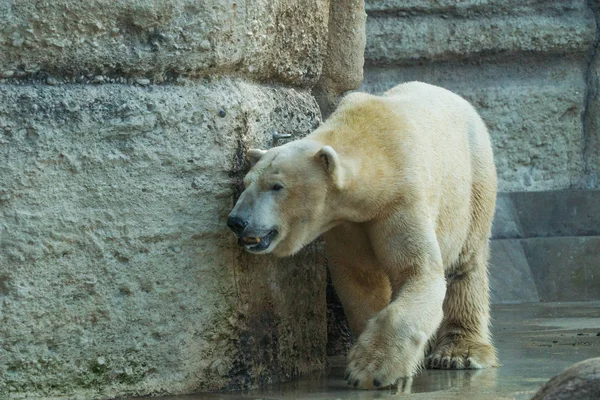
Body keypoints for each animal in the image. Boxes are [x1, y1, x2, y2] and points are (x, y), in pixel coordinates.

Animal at [226, 79, 496, 390]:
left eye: (276, 186)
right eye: (246, 182)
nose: (237, 221)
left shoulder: (401, 201)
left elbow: (418, 271)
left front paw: (371, 369)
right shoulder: (345, 222)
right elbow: (360, 280)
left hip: (474, 181)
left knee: (466, 264)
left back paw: (459, 353)